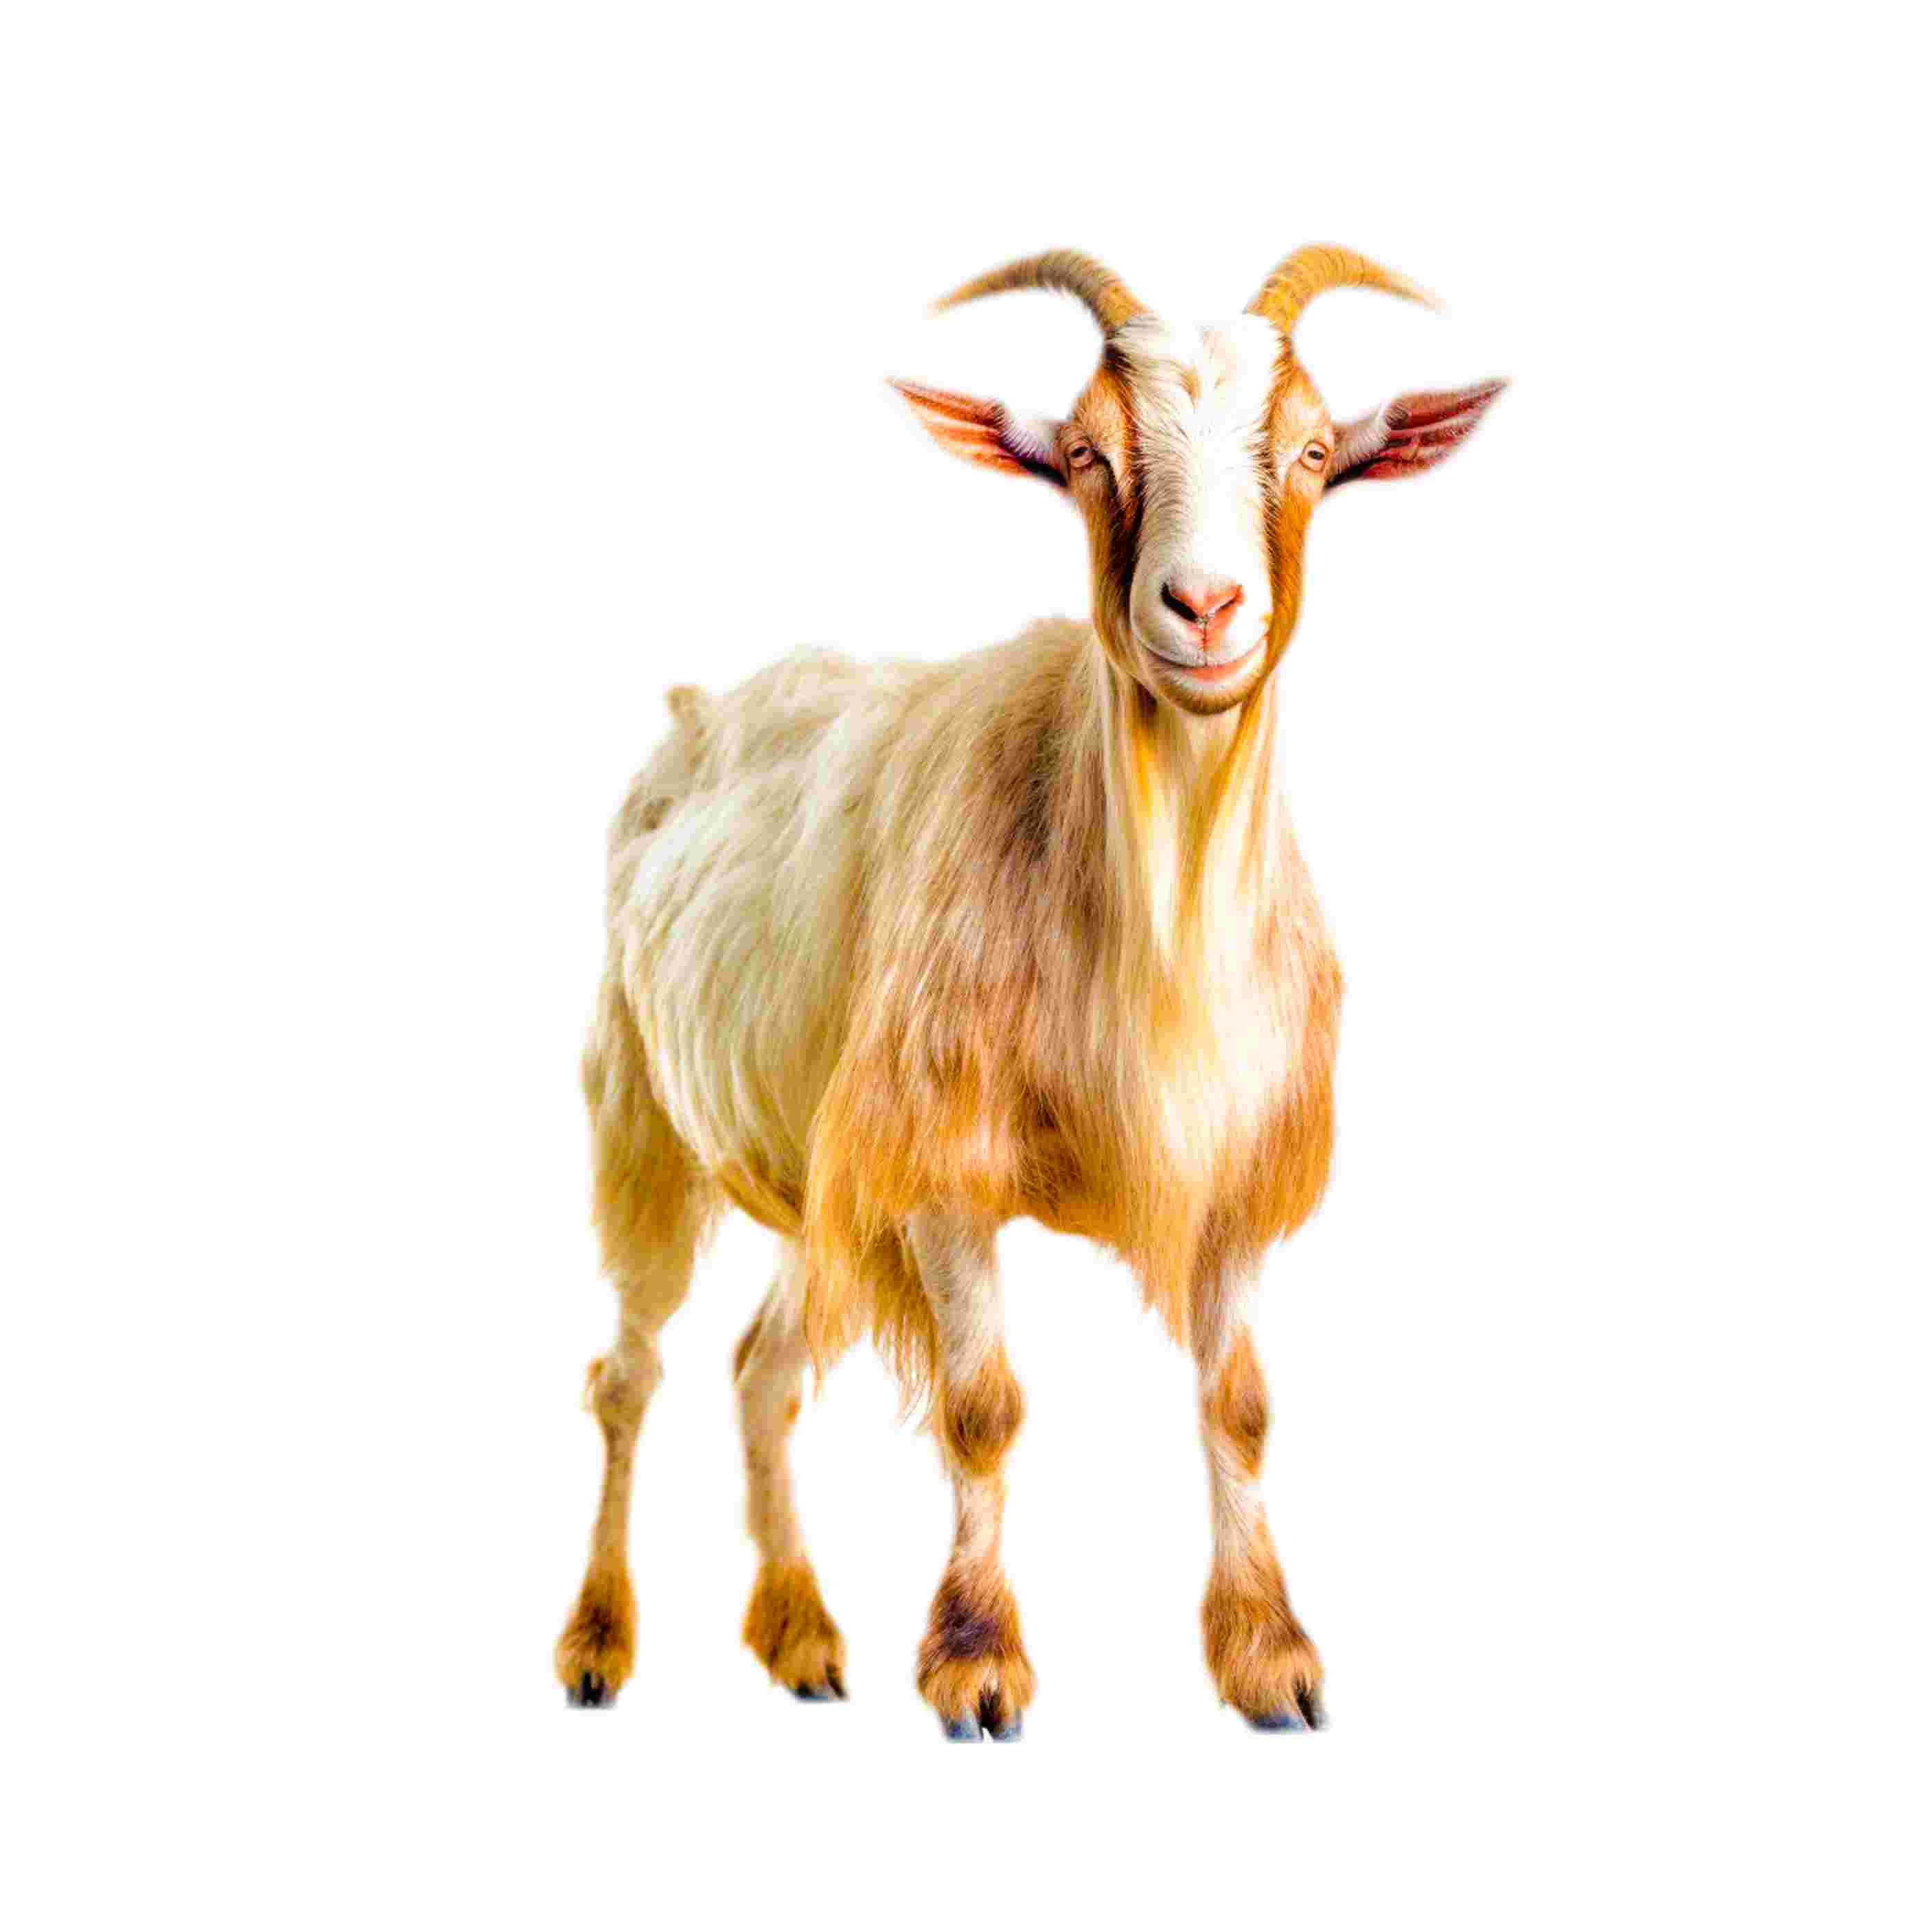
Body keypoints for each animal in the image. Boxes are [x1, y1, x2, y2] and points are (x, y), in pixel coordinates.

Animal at [553, 244, 1505, 1736]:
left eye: (1311, 452)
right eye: (1085, 454)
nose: (1205, 609)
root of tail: (698, 708)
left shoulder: (1229, 1164)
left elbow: (1239, 1401)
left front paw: (1270, 1657)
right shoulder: (940, 1160)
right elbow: (982, 1406)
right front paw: (978, 1666)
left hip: (806, 1159)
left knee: (761, 1372)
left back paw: (801, 1635)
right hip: (639, 1110)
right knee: (627, 1369)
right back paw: (598, 1642)